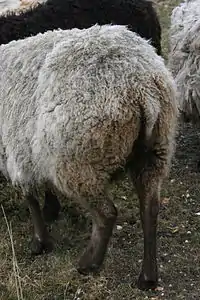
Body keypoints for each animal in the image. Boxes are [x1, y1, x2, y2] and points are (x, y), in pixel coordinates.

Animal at [0, 24, 178, 290]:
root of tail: (141, 86)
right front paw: (51, 208)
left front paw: (40, 242)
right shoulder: (35, 152)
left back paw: (88, 264)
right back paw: (147, 278)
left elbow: (30, 198)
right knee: (150, 208)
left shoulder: (16, 153)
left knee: (107, 213)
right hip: (155, 150)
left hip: (79, 161)